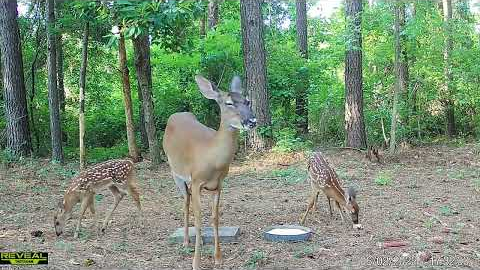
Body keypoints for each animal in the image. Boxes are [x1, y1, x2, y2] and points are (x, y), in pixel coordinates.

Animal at [163, 74, 256, 270]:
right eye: (229, 103)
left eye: (248, 101)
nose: (252, 121)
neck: (212, 157)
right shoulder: (197, 181)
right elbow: (199, 220)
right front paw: (196, 262)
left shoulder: (218, 185)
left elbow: (215, 218)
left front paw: (218, 258)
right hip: (175, 172)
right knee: (185, 201)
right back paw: (185, 242)